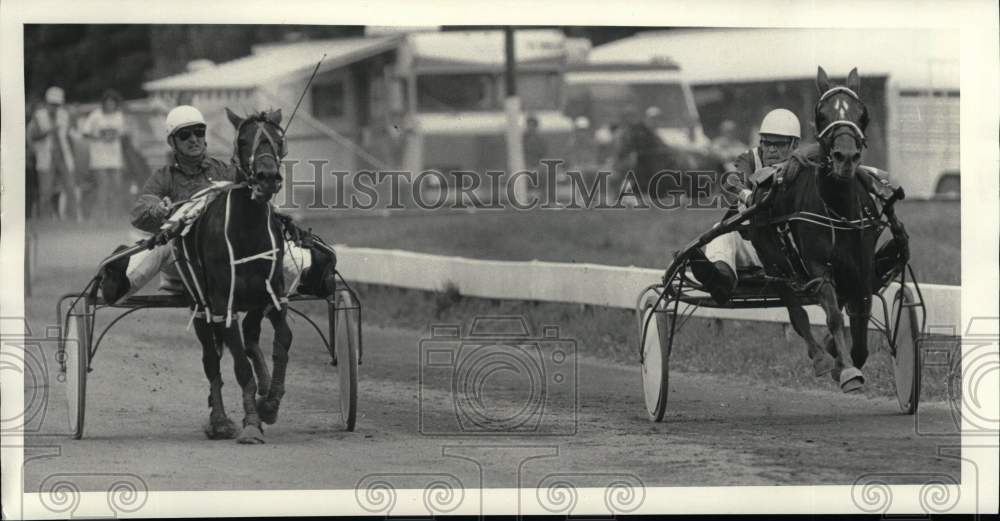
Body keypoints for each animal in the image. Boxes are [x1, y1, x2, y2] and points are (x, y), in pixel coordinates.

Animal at [174, 107, 298, 440]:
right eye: (243, 141)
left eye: (279, 140)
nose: (267, 177)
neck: (248, 231)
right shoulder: (222, 304)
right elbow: (239, 366)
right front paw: (252, 422)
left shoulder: (272, 293)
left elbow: (282, 341)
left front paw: (270, 403)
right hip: (199, 306)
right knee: (212, 360)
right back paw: (219, 421)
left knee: (252, 337)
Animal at [748, 67, 880, 392]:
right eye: (821, 115)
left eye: (863, 114)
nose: (846, 157)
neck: (838, 212)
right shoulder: (818, 268)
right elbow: (832, 315)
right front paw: (845, 369)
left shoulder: (862, 268)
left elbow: (861, 320)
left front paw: (844, 355)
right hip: (775, 263)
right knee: (797, 313)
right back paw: (821, 357)